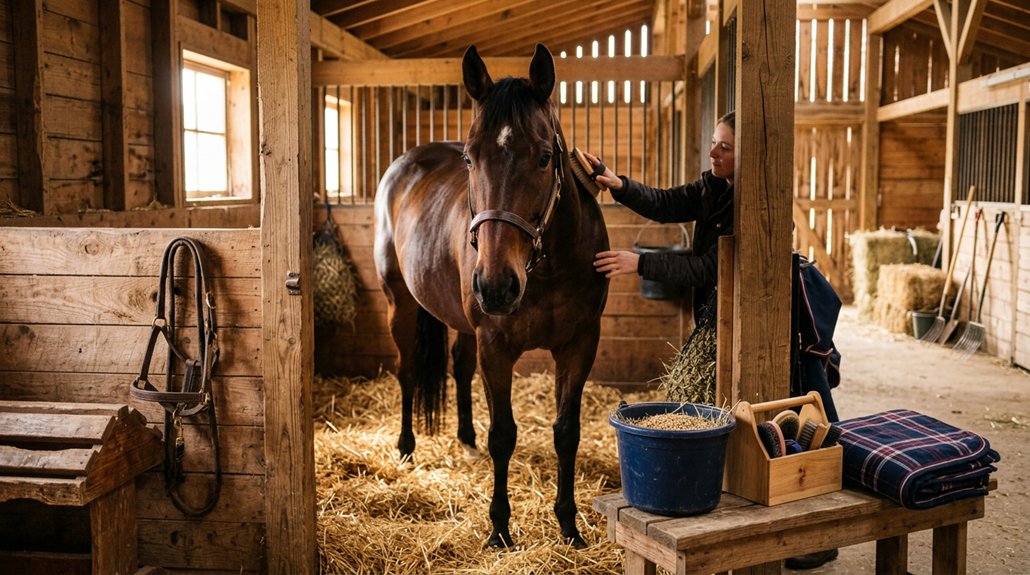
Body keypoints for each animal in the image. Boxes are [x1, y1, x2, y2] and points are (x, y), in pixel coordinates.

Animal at [373, 43, 609, 548]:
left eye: (544, 156)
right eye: (469, 158)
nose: (497, 285)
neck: (546, 268)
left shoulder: (579, 344)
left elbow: (567, 432)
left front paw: (568, 525)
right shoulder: (496, 347)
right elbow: (504, 434)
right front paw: (500, 528)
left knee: (460, 367)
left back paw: (466, 439)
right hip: (400, 304)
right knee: (407, 370)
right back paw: (405, 448)